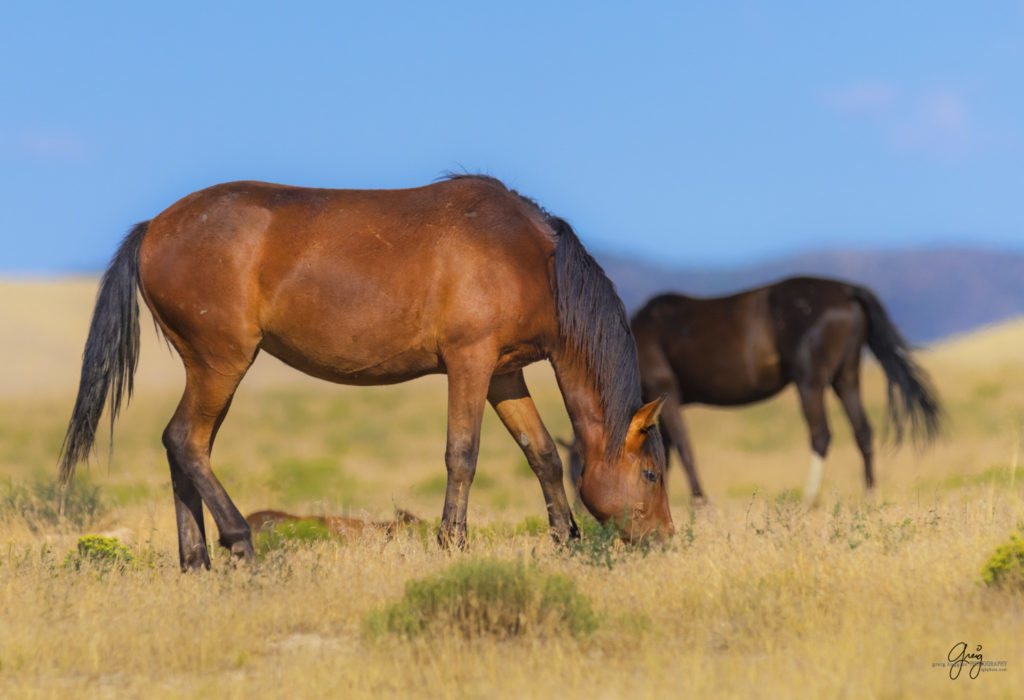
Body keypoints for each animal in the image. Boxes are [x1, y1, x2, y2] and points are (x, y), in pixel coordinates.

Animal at [59, 173, 675, 569]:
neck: (528, 257)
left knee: (182, 445)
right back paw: (238, 543)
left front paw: (565, 539)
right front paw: (453, 544)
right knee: (186, 441)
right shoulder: (469, 363)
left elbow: (542, 453)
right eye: (651, 474)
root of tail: (154, 227)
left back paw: (196, 560)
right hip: (221, 363)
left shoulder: (504, 374)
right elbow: (463, 454)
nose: (665, 540)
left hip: (209, 369)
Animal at [626, 276, 937, 499]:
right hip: (846, 378)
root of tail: (847, 290)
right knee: (863, 431)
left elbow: (682, 449)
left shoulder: (667, 396)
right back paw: (870, 495)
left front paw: (700, 505)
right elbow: (665, 453)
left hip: (810, 382)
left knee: (821, 434)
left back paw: (809, 499)